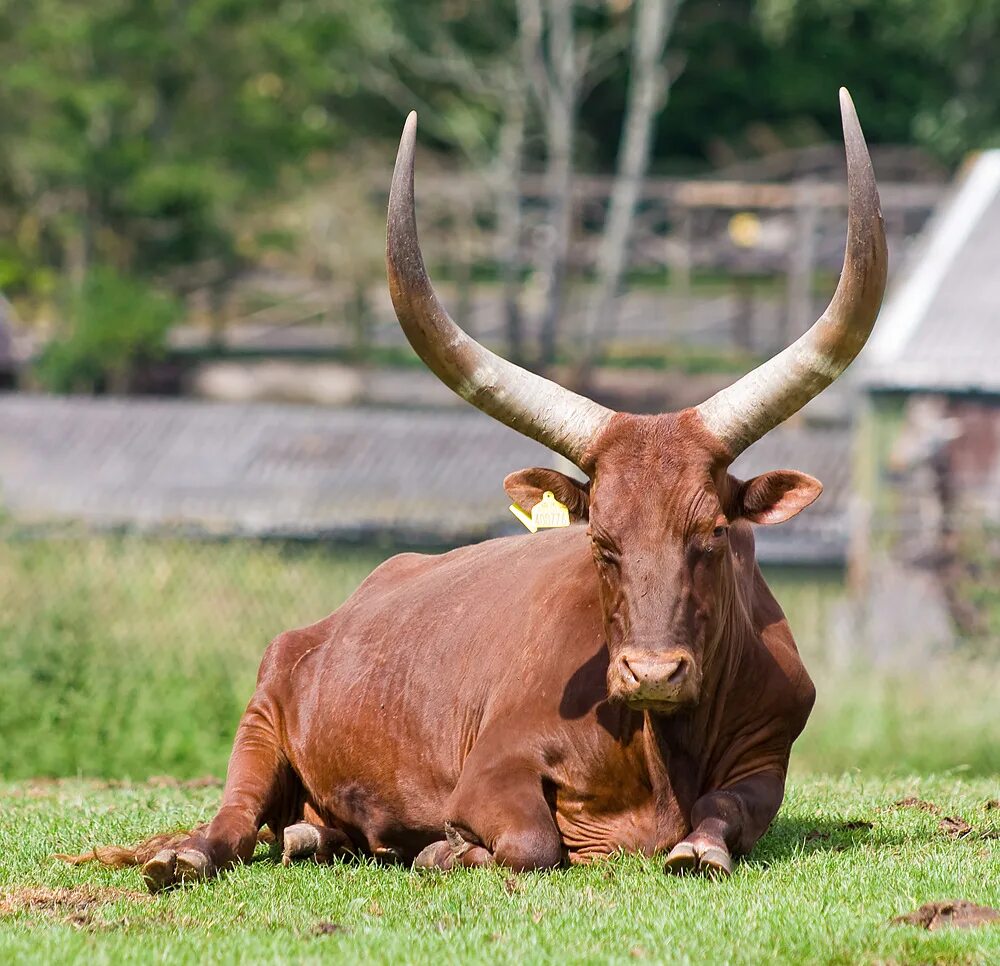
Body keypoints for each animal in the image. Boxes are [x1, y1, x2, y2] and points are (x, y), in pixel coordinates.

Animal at [76, 91, 884, 892]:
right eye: (599, 540)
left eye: (714, 532)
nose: (652, 672)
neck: (658, 748)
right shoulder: (493, 767)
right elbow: (532, 842)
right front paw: (446, 848)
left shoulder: (767, 762)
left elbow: (723, 821)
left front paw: (697, 846)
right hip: (261, 713)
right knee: (236, 819)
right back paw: (185, 855)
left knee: (297, 829)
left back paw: (314, 838)